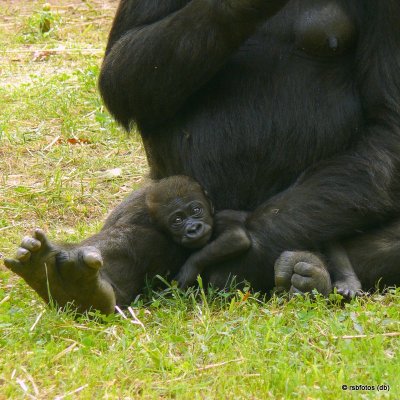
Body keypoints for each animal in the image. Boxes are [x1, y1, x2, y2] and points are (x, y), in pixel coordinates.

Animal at [4, 0, 400, 312]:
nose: (194, 226)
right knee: (137, 222)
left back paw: (310, 273)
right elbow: (121, 69)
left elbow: (388, 124)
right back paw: (75, 282)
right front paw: (242, 4)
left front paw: (234, 267)